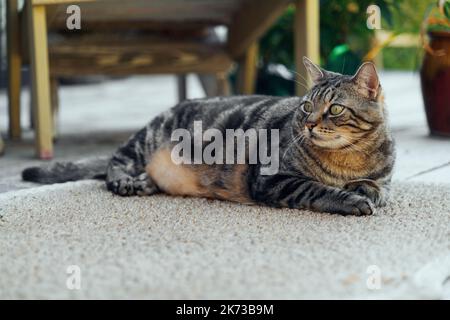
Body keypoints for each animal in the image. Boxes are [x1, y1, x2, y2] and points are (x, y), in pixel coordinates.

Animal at [22, 58, 394, 216]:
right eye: (306, 107)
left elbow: (377, 186)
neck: (348, 158)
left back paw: (145, 182)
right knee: (116, 161)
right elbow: (318, 189)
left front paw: (367, 191)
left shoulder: (382, 177)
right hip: (146, 139)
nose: (309, 125)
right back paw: (127, 181)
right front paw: (352, 200)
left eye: (335, 109)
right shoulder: (273, 179)